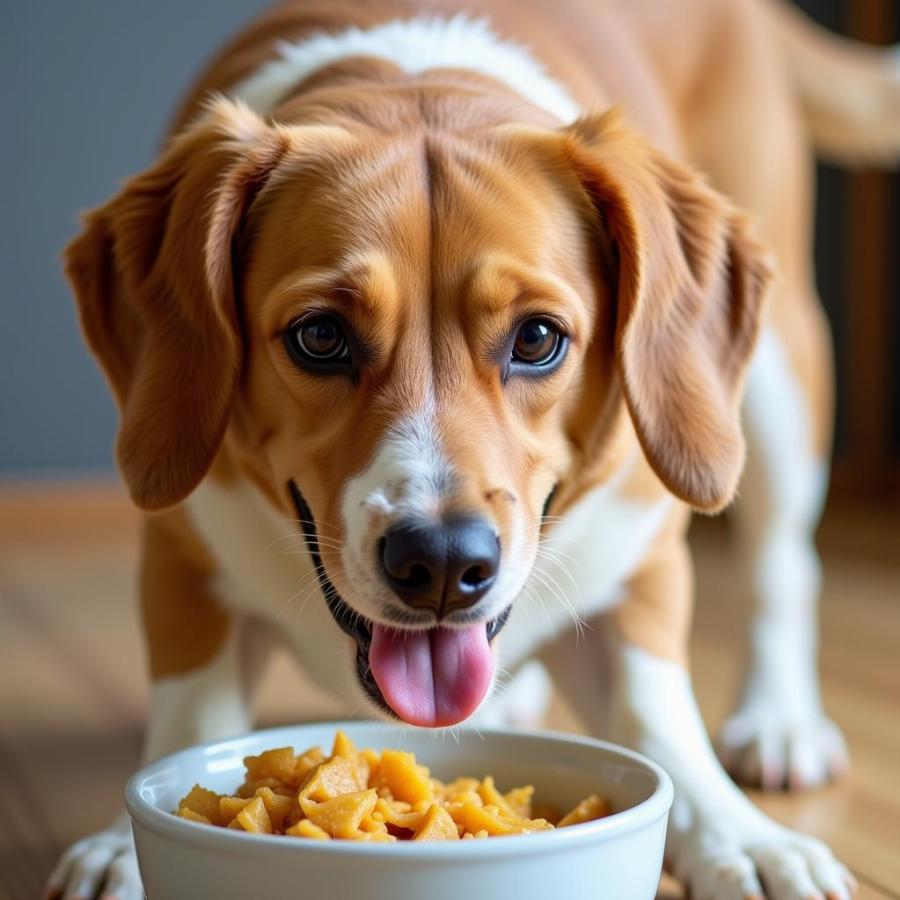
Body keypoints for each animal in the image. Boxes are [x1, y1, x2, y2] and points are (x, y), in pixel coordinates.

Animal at [51, 3, 900, 896]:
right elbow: (190, 714)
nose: (442, 564)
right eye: (320, 336)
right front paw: (129, 845)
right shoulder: (181, 559)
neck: (415, 81)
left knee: (782, 569)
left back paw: (779, 719)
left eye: (537, 339)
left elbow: (657, 710)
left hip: (777, 383)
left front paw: (737, 835)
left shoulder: (642, 555)